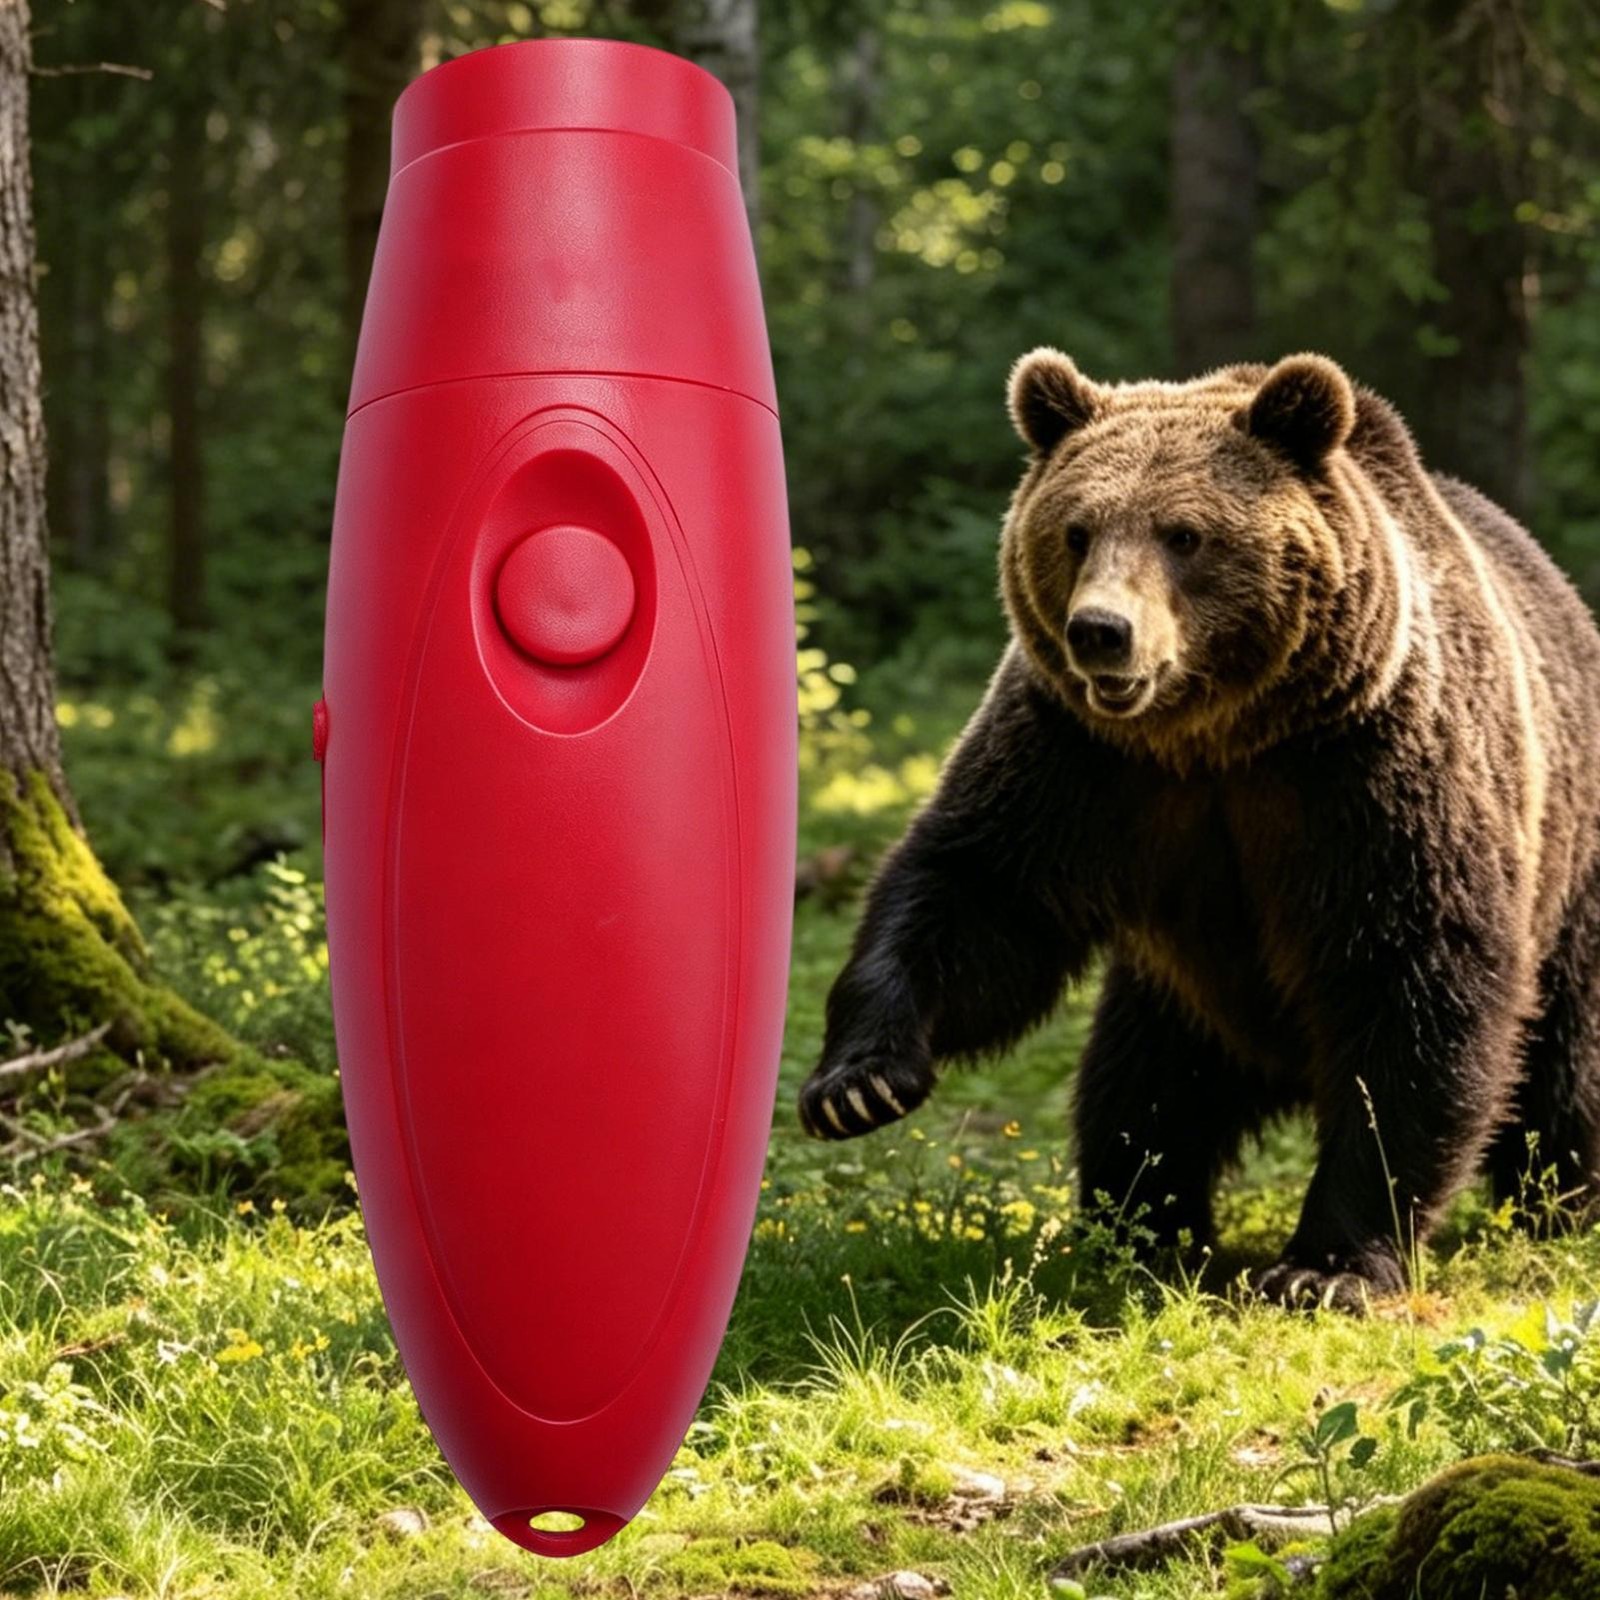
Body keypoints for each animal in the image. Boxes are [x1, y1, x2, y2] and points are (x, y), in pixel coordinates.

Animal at [797, 350, 1600, 1312]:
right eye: (1077, 530)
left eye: (1184, 534)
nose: (1101, 632)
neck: (1218, 734)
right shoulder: (1081, 765)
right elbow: (977, 892)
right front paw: (858, 1084)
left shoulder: (1374, 772)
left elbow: (1414, 983)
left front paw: (1327, 1267)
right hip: (1174, 995)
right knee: (1140, 1095)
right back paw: (1142, 1226)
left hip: (1576, 885)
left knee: (1570, 1072)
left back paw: (1566, 1204)